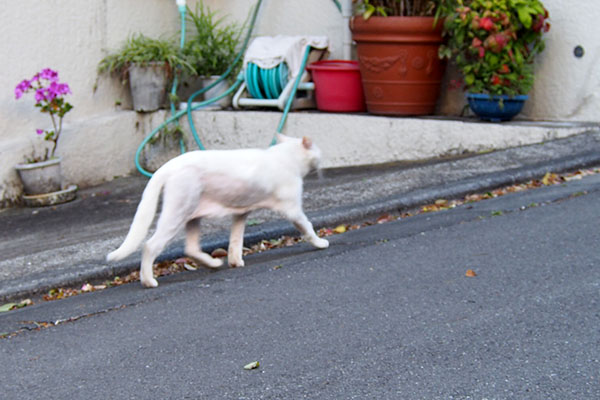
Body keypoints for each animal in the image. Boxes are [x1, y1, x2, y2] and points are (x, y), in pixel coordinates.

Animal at [107, 134, 328, 288]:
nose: (322, 159)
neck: (285, 156)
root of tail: (169, 165)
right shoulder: (293, 210)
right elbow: (308, 228)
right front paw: (320, 243)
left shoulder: (240, 212)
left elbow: (235, 241)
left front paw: (235, 261)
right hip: (177, 213)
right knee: (150, 246)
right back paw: (148, 281)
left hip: (191, 216)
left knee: (190, 249)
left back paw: (213, 264)